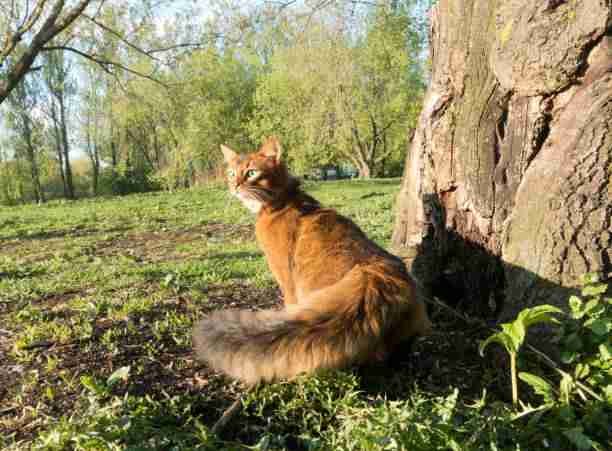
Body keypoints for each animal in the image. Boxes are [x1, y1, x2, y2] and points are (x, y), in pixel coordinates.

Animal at [194, 136, 432, 384]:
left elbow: (289, 304)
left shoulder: (286, 279)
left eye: (251, 173)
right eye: (232, 173)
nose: (235, 186)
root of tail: (376, 280)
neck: (284, 200)